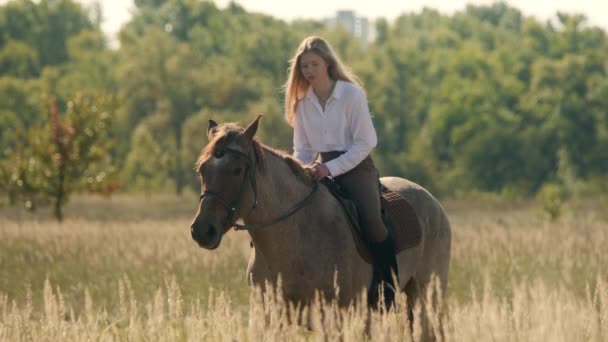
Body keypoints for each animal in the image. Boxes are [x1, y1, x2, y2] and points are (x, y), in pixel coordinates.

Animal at [190, 116, 452, 336]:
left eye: (237, 170)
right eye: (202, 169)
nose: (202, 231)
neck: (294, 236)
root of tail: (433, 202)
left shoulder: (331, 316)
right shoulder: (271, 315)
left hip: (427, 295)